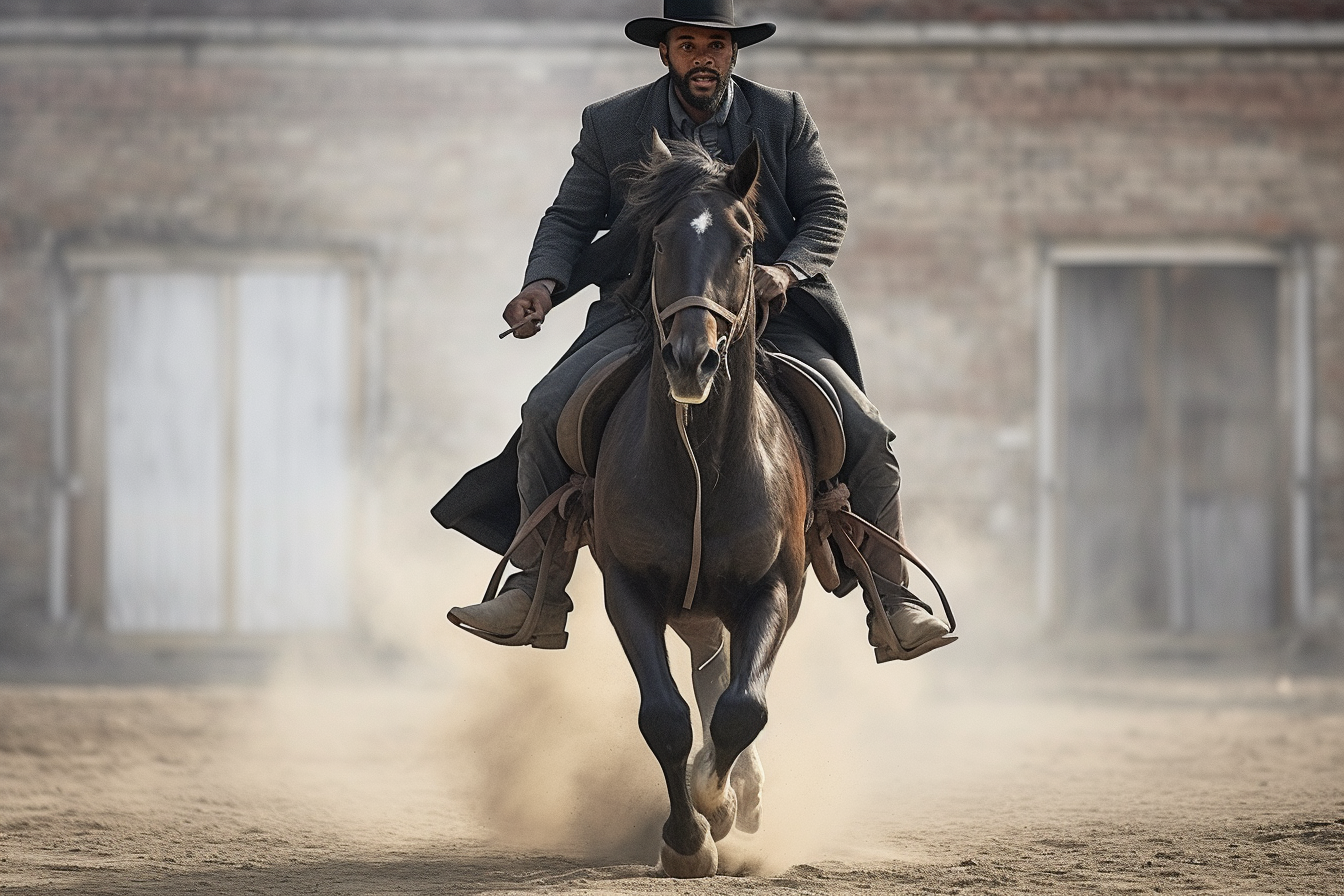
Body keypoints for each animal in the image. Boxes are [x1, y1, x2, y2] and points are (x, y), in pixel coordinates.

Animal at [591, 132, 806, 875]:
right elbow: (666, 717)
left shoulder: (774, 589)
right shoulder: (627, 588)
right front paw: (687, 840)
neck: (702, 471)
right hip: (696, 614)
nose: (691, 358)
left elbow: (743, 708)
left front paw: (721, 800)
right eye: (658, 241)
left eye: (743, 246)